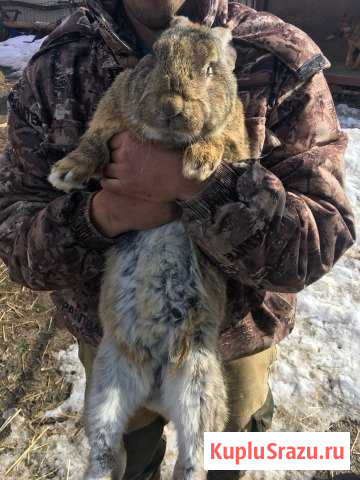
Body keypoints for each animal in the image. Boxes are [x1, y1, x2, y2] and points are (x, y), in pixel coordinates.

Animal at [47, 15, 250, 480]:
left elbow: (221, 143)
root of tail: (156, 380)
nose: (172, 106)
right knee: (106, 450)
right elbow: (93, 141)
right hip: (106, 385)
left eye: (211, 68)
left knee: (194, 456)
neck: (166, 142)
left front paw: (198, 163)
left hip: (198, 384)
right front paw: (65, 174)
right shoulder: (111, 112)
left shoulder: (237, 142)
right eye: (155, 55)